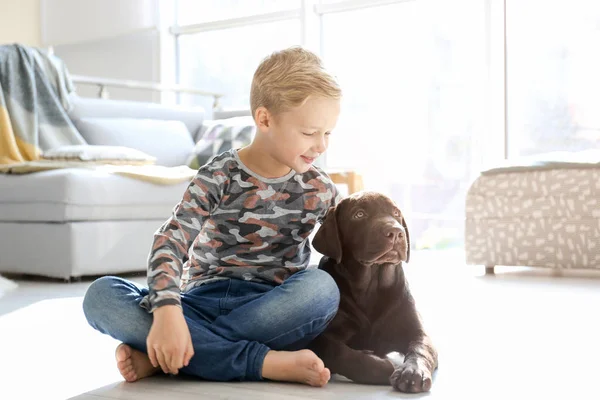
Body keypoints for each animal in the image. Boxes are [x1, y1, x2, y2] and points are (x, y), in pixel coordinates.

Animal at [310, 191, 436, 394]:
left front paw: (412, 372)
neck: (372, 286)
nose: (396, 232)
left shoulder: (417, 331)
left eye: (396, 212)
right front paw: (384, 366)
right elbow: (338, 351)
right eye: (359, 215)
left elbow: (421, 349)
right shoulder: (317, 338)